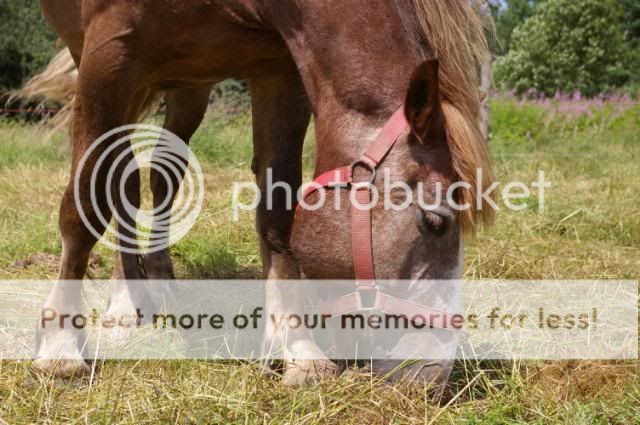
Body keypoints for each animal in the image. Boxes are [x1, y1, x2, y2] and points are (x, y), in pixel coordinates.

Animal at [26, 0, 496, 384]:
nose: (433, 372)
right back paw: (124, 303)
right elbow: (85, 203)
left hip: (188, 86)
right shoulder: (108, 54)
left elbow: (278, 210)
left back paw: (156, 281)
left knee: (160, 174)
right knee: (119, 176)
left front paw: (296, 347)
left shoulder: (278, 70)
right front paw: (60, 341)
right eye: (435, 222)